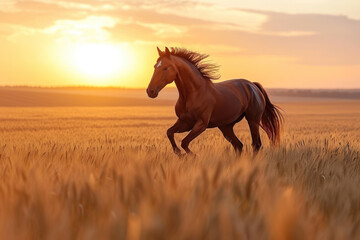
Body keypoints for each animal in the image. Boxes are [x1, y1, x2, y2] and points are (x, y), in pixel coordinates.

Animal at [146, 47, 282, 156]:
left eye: (165, 68)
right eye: (154, 67)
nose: (150, 91)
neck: (193, 93)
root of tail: (252, 85)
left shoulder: (201, 124)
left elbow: (184, 142)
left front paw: (191, 155)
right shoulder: (185, 122)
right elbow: (169, 132)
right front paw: (179, 153)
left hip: (253, 120)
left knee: (255, 145)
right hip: (226, 127)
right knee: (239, 145)